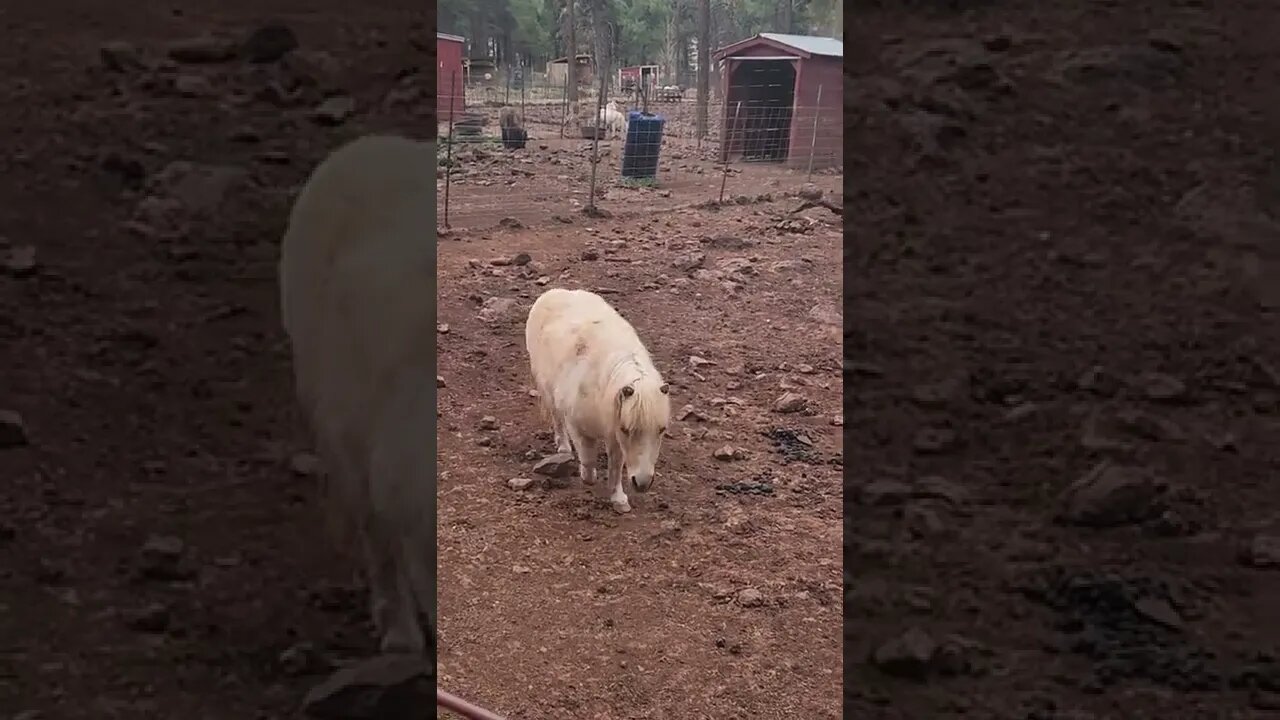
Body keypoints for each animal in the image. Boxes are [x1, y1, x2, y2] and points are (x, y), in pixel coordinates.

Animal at [527, 285, 675, 509]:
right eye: (627, 429)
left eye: (661, 430)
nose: (642, 484)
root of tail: (554, 292)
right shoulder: (581, 428)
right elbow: (588, 459)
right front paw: (588, 476)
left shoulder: (614, 432)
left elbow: (616, 465)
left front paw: (619, 499)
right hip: (546, 387)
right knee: (557, 418)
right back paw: (563, 449)